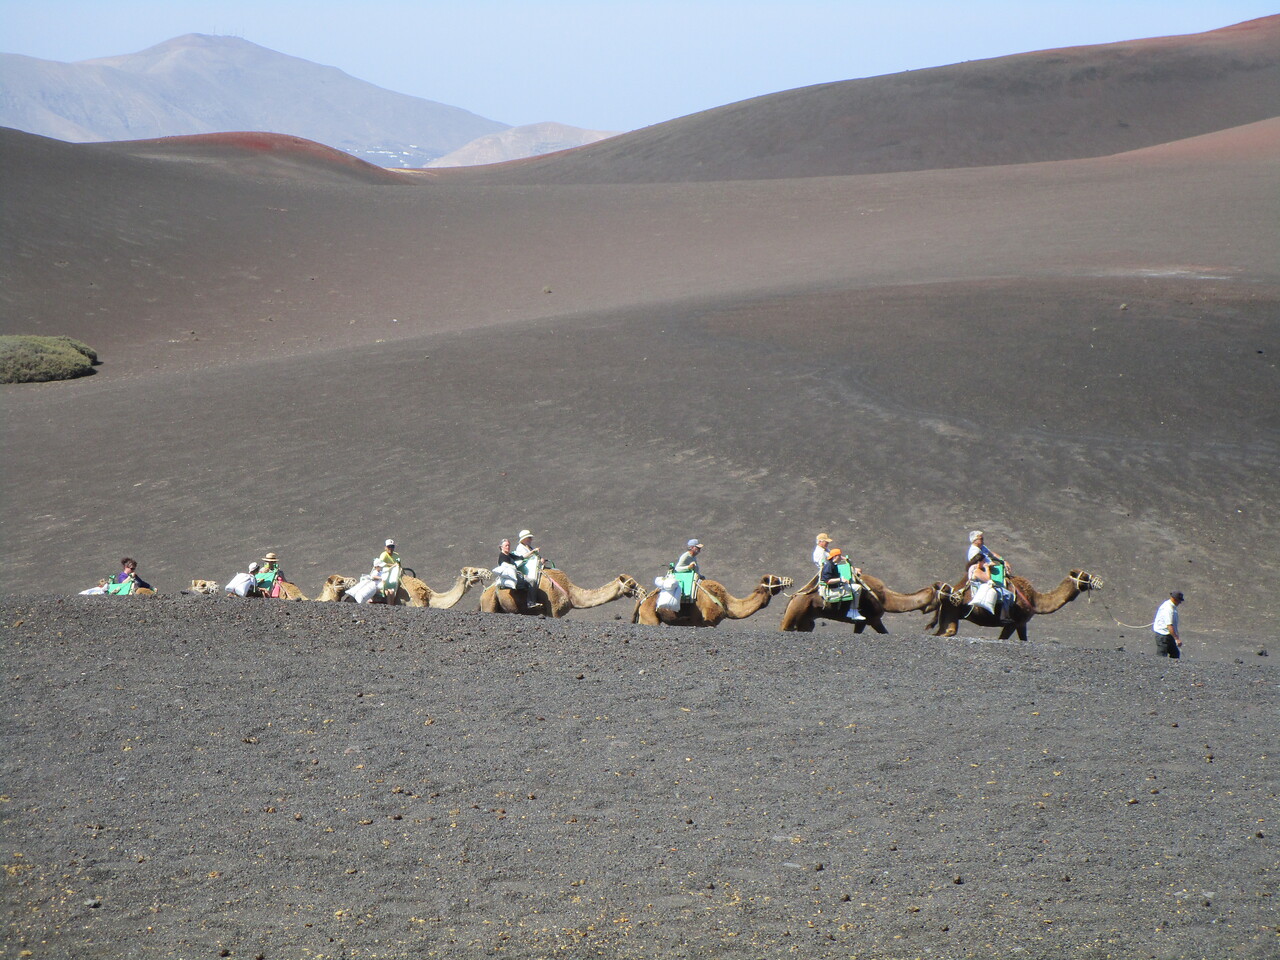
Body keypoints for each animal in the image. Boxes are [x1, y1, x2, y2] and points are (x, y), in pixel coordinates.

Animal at [478, 568, 640, 619]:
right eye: (631, 584)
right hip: (488, 604)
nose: (642, 591)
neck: (570, 592)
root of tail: (484, 593)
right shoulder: (553, 611)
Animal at [629, 576, 788, 627]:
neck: (726, 603)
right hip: (649, 618)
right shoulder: (709, 621)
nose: (788, 581)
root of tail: (643, 600)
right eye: (775, 580)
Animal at [773, 576, 947, 634]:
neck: (885, 598)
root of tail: (793, 597)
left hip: (807, 620)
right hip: (796, 612)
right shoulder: (871, 619)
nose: (931, 624)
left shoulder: (864, 622)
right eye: (940, 595)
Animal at [926, 568, 1105, 642]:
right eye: (1086, 576)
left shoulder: (1021, 624)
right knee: (947, 632)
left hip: (947, 614)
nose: (1099, 582)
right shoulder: (1016, 622)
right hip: (952, 612)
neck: (1036, 600)